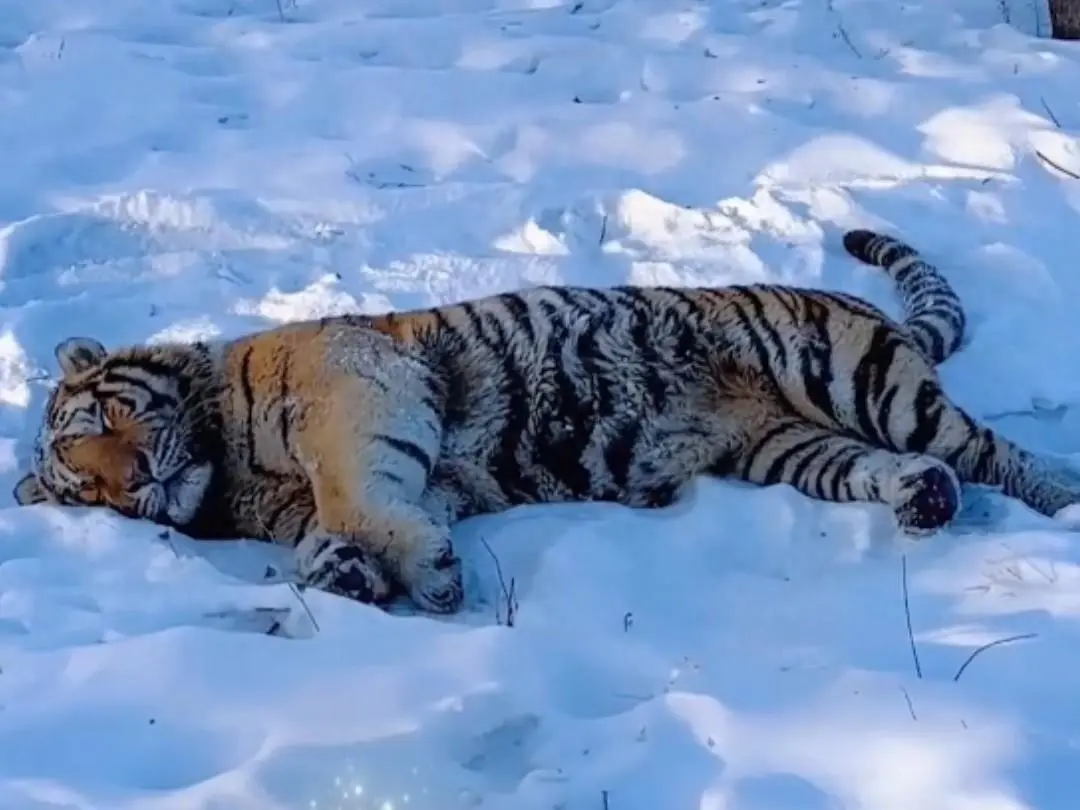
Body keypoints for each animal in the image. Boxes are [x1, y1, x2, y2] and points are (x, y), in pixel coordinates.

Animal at [12, 229, 1080, 614]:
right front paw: (352, 576)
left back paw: (1061, 499)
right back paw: (925, 504)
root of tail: (862, 308)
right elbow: (331, 532)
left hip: (853, 376)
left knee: (990, 449)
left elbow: (352, 489)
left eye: (101, 416)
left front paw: (424, 574)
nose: (136, 481)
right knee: (902, 471)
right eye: (86, 490)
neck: (222, 474)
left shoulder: (354, 382)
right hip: (792, 448)